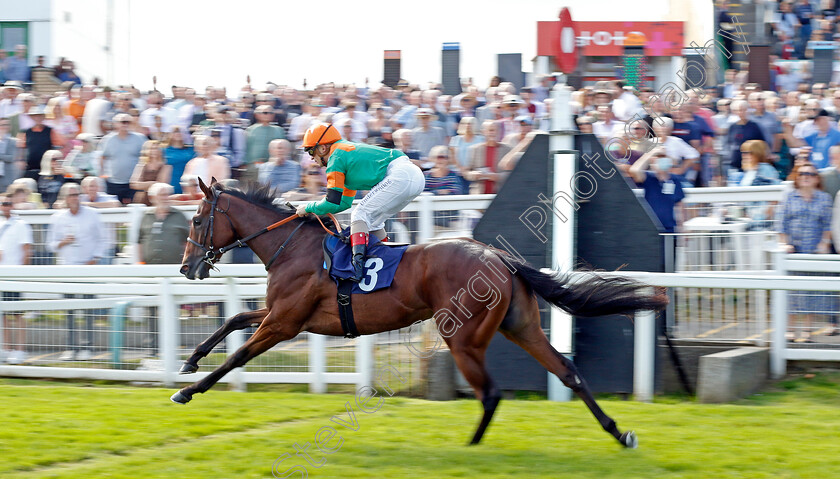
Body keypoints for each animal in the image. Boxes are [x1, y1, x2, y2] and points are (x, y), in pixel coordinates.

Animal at [174, 177, 668, 450]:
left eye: (196, 221)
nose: (186, 267)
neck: (292, 247)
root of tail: (499, 257)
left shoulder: (284, 322)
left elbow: (238, 355)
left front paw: (188, 391)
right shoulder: (284, 316)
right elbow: (233, 321)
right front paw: (189, 361)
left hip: (464, 336)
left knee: (491, 393)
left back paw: (471, 446)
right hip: (521, 325)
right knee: (567, 370)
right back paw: (619, 433)